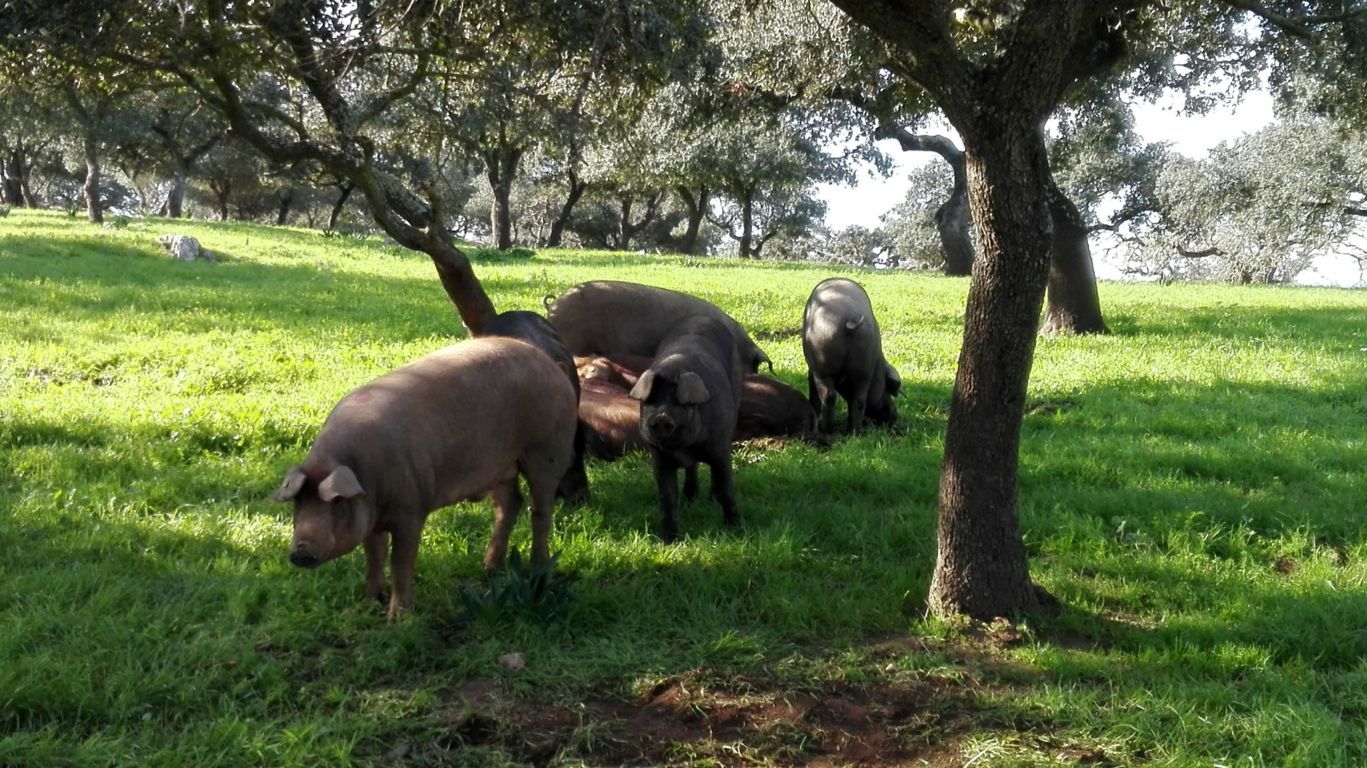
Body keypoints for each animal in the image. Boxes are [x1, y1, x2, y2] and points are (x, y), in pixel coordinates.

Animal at [274, 334, 579, 614]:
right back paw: (489, 568)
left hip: (546, 451)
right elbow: (374, 556)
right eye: (298, 502)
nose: (300, 550)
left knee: (540, 510)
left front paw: (398, 617)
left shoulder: (411, 510)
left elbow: (400, 562)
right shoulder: (371, 517)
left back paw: (538, 570)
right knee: (510, 504)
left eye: (337, 502)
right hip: (501, 466)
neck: (365, 474)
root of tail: (553, 365)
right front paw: (368, 602)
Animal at [626, 314, 743, 541]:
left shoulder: (720, 449)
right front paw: (668, 539)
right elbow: (668, 497)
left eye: (681, 403)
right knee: (692, 469)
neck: (683, 449)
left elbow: (726, 489)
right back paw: (690, 499)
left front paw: (735, 529)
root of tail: (702, 317)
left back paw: (709, 498)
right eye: (650, 401)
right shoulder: (659, 459)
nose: (661, 416)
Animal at [798, 274, 902, 431]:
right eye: (887, 390)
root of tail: (849, 319)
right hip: (864, 367)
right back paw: (855, 431)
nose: (895, 416)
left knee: (829, 396)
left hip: (822, 367)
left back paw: (826, 428)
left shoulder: (812, 368)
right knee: (858, 400)